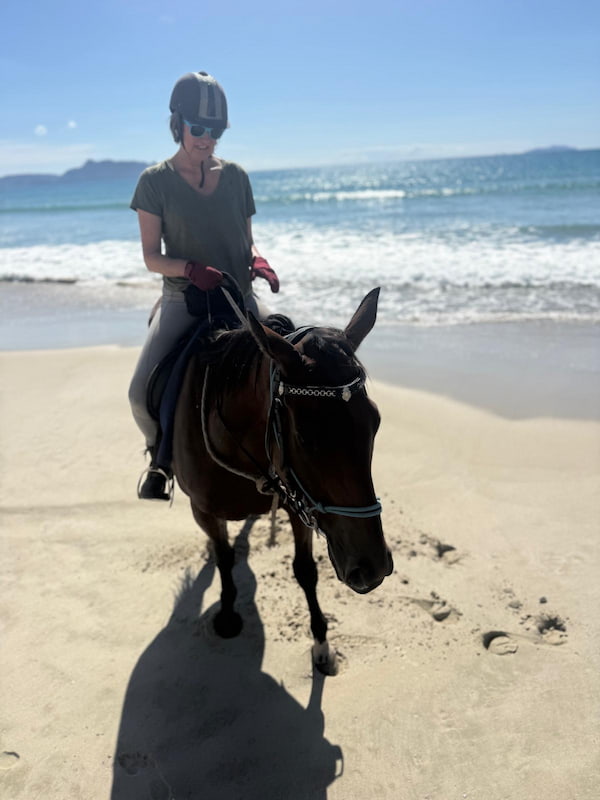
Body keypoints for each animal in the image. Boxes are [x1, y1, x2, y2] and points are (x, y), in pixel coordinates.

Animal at [172, 287, 393, 675]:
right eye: (305, 437)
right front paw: (227, 614)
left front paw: (322, 644)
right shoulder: (204, 509)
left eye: (376, 422)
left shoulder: (298, 502)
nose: (372, 567)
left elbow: (305, 570)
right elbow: (225, 558)